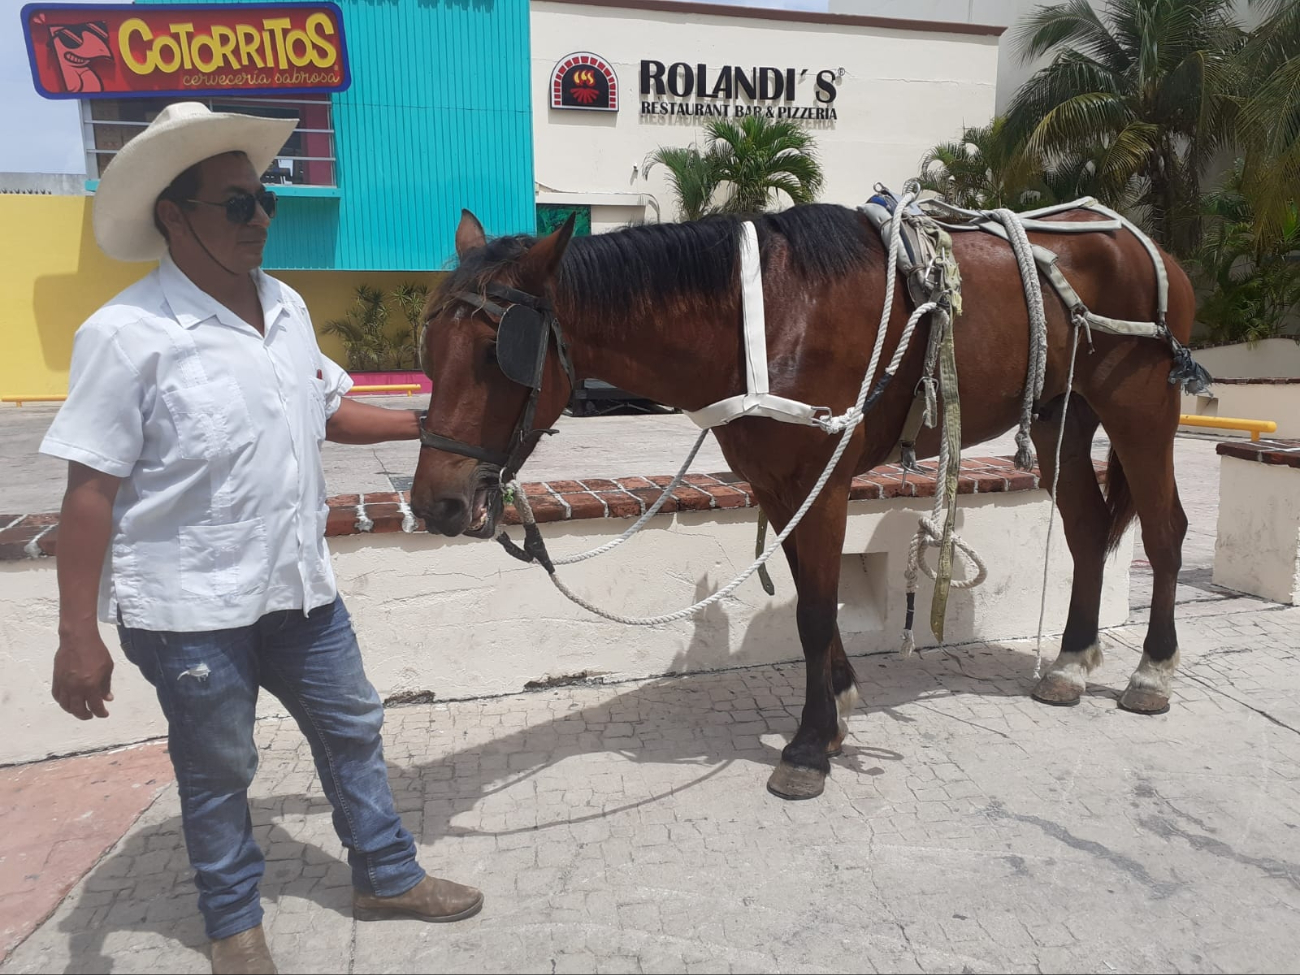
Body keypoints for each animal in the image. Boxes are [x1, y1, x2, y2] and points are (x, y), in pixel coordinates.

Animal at [410, 204, 1190, 800]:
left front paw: (810, 746)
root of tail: (1156, 250)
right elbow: (815, 604)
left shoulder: (825, 480)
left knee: (1164, 532)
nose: (436, 504)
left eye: (498, 354)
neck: (762, 318)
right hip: (1062, 415)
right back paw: (1070, 662)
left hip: (1142, 410)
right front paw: (838, 705)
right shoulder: (780, 486)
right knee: (1088, 532)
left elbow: (815, 612)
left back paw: (1151, 671)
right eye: (430, 347)